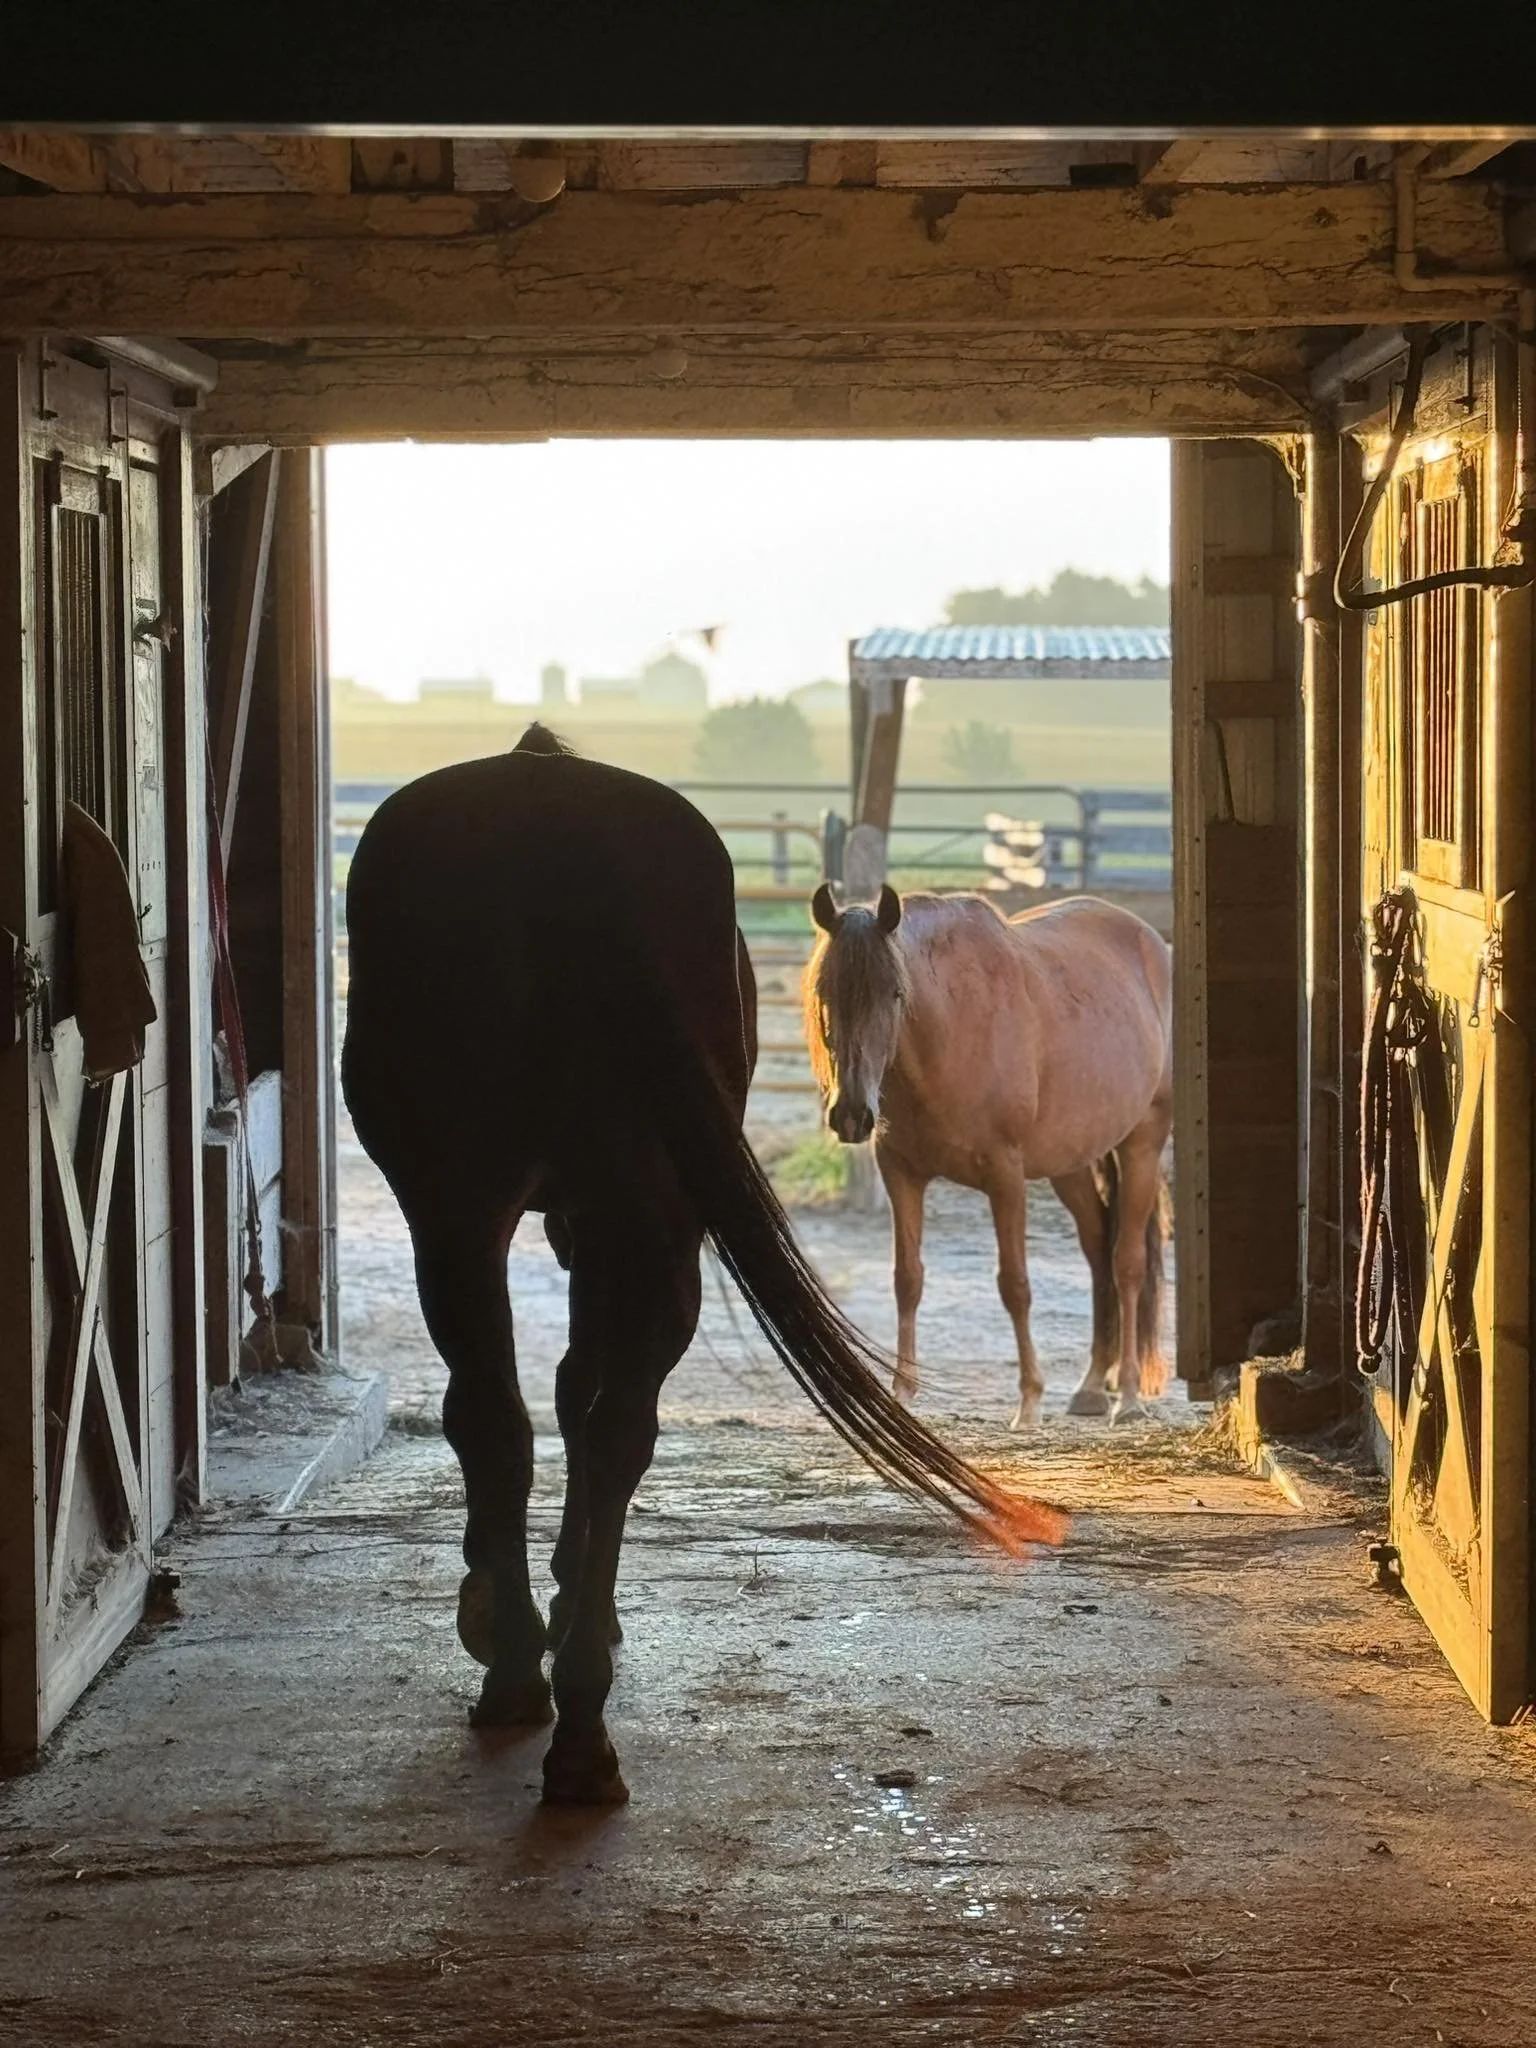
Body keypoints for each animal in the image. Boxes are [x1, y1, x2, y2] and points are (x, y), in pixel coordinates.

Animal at [340, 726, 1065, 1807]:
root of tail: (553, 804)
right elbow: (577, 1394)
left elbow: (552, 1394)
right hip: (602, 1216)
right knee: (589, 1426)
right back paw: (573, 1714)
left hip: (481, 1215)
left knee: (518, 1418)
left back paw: (526, 1674)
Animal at [804, 885, 1173, 1429]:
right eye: (825, 992)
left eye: (894, 993)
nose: (851, 1114)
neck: (950, 1030)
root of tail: (1153, 944)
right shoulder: (901, 1174)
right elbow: (907, 1279)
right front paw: (902, 1393)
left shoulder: (1006, 1176)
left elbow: (1014, 1285)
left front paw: (1029, 1399)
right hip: (1071, 1165)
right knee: (1097, 1253)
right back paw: (1091, 1386)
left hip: (1142, 1143)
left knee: (1126, 1262)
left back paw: (1125, 1394)